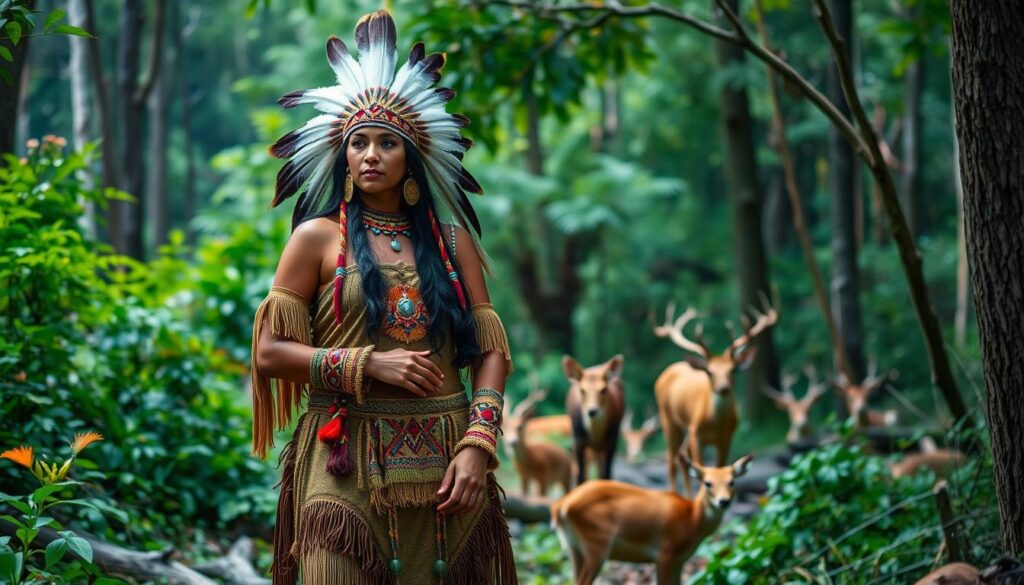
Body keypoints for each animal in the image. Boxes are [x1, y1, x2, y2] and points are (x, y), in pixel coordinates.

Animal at [552, 452, 753, 585]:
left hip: (573, 547)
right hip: (597, 543)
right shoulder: (665, 553)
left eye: (732, 481)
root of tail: (562, 506)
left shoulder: (679, 560)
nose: (724, 501)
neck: (692, 520)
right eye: (707, 483)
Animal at [655, 297, 774, 493]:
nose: (723, 388)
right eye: (709, 372)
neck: (715, 424)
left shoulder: (727, 438)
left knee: (681, 456)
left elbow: (719, 468)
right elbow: (701, 470)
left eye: (732, 370)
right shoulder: (696, 434)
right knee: (671, 460)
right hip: (669, 420)